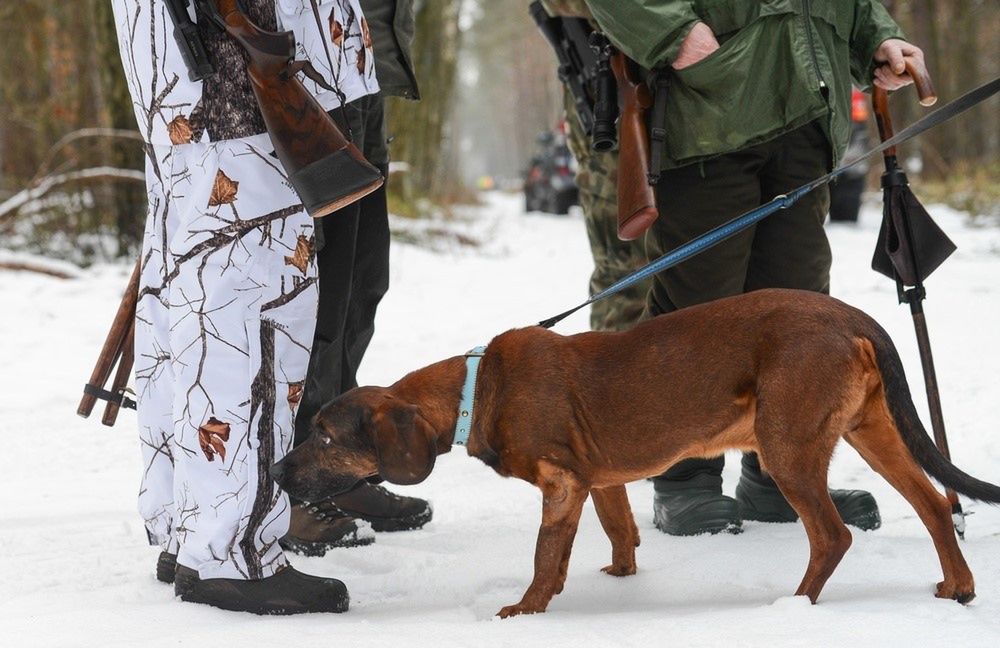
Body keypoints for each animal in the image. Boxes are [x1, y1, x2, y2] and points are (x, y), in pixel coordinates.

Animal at [270, 290, 996, 616]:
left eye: (325, 436)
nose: (276, 469)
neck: (479, 386)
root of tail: (851, 315)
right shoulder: (599, 479)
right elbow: (619, 530)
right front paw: (619, 578)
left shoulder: (561, 483)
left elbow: (544, 556)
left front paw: (524, 613)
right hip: (871, 432)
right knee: (935, 505)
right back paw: (958, 586)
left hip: (788, 448)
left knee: (833, 535)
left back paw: (794, 608)